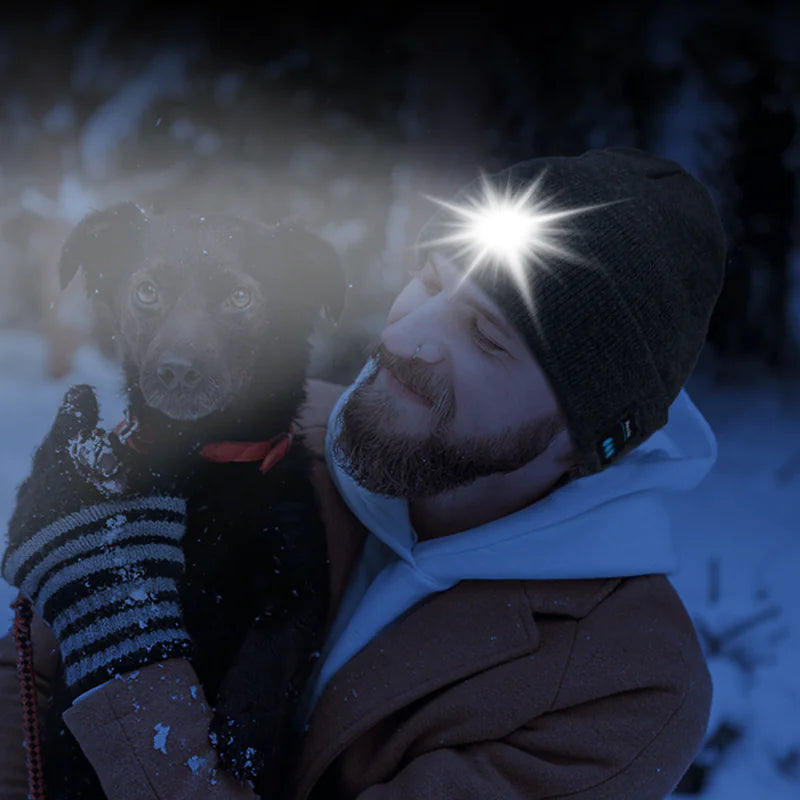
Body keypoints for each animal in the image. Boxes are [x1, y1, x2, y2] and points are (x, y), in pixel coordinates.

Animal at [43, 202, 344, 800]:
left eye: (241, 298)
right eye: (147, 291)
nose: (177, 371)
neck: (203, 461)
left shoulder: (301, 574)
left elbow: (272, 648)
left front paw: (244, 737)